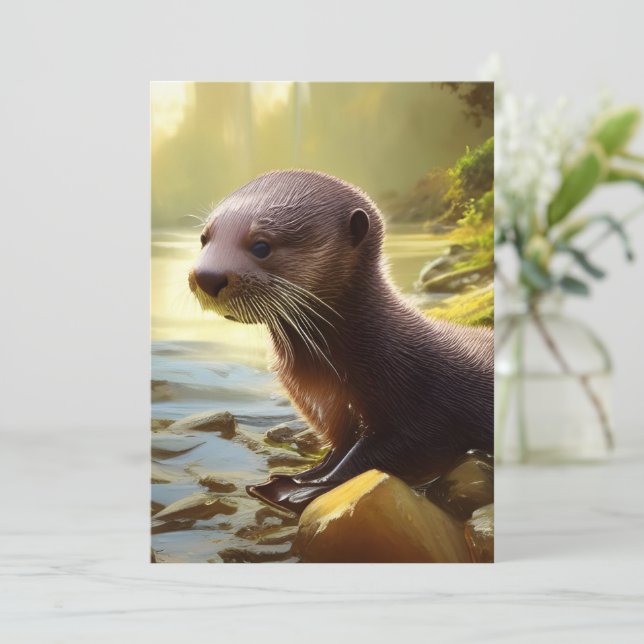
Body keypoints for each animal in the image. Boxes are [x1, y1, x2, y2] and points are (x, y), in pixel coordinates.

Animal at [189, 170, 493, 513]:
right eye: (204, 238)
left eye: (261, 246)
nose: (206, 276)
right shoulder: (331, 413)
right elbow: (337, 452)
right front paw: (303, 477)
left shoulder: (425, 407)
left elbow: (391, 454)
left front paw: (298, 491)